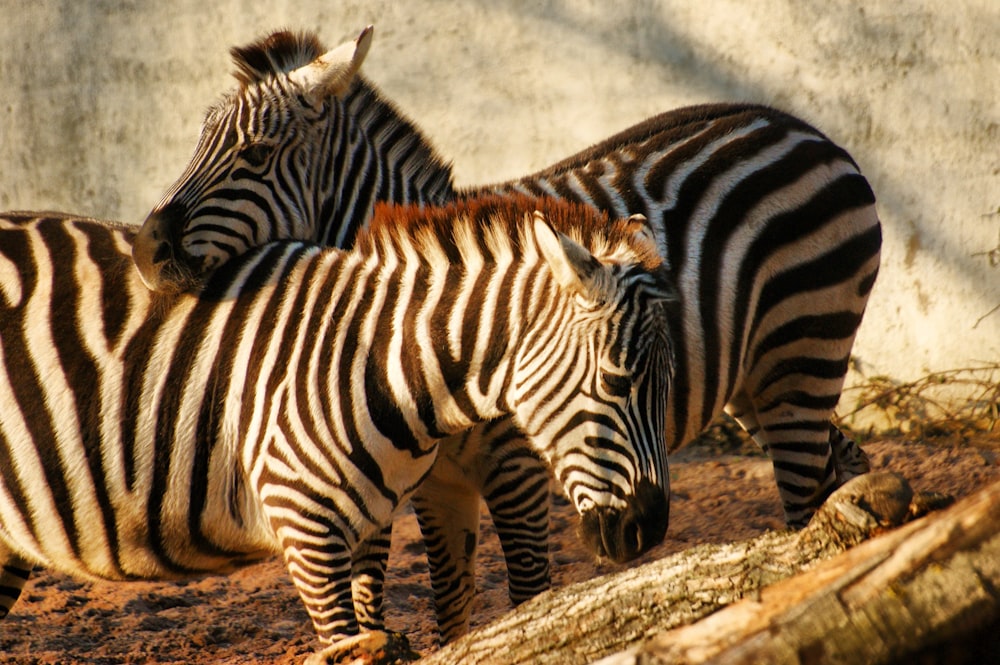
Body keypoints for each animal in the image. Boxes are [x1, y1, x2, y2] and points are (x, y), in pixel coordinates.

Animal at [0, 197, 676, 660]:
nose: (649, 530)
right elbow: (345, 644)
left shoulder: (368, 526)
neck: (381, 359)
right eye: (617, 381)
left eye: (668, 385)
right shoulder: (305, 527)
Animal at [129, 24, 880, 640]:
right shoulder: (426, 484)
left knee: (805, 499)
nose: (144, 249)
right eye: (198, 141)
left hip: (801, 355)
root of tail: (808, 131)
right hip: (760, 383)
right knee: (842, 466)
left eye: (254, 152)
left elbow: (526, 596)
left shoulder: (517, 468)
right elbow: (437, 605)